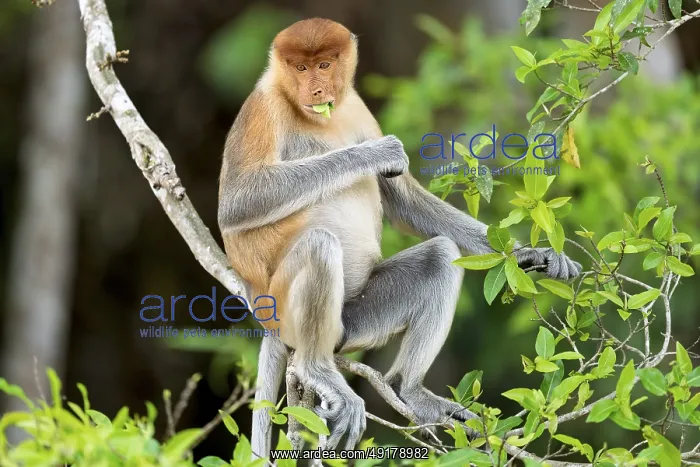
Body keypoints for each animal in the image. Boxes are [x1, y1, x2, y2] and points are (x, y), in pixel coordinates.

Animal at [217, 18, 582, 457]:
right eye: (300, 69)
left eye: (324, 64)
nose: (317, 92)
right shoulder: (263, 106)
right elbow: (239, 202)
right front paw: (378, 153)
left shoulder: (355, 104)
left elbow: (401, 199)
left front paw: (530, 254)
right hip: (282, 305)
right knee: (319, 245)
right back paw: (318, 369)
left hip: (354, 321)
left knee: (440, 255)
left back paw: (410, 392)